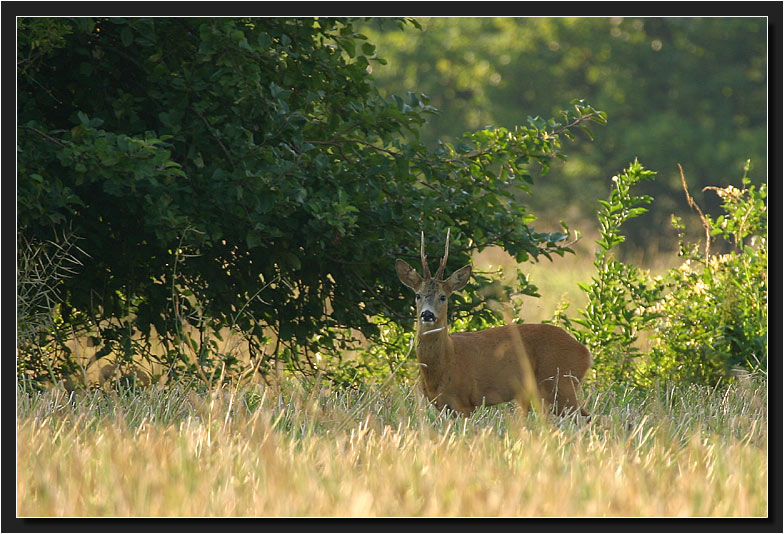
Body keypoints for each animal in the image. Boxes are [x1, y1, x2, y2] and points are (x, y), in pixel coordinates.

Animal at [396, 230, 592, 418]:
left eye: (443, 297)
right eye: (418, 295)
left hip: (560, 383)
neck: (446, 359)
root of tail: (585, 352)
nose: (427, 314)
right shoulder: (442, 405)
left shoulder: (464, 402)